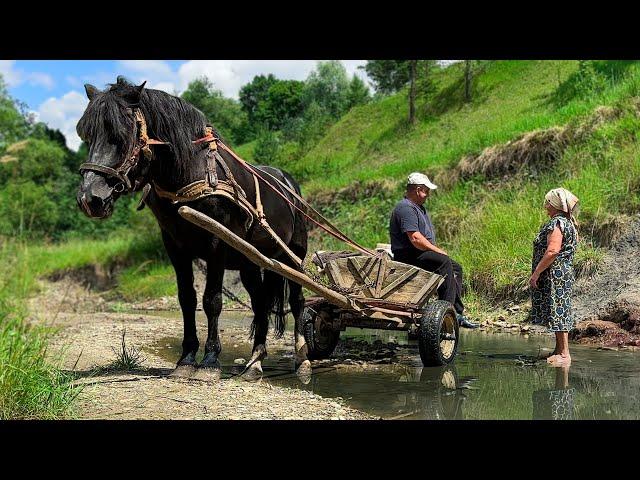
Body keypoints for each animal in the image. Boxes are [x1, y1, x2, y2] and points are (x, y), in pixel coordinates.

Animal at [77, 77, 312, 380]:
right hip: (251, 262)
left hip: (294, 256)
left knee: (297, 301)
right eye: (87, 136)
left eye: (120, 134)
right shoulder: (175, 247)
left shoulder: (217, 244)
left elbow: (212, 300)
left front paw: (210, 361)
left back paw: (302, 359)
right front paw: (187, 358)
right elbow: (187, 299)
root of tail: (288, 184)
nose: (89, 199)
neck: (192, 172)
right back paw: (255, 361)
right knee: (260, 303)